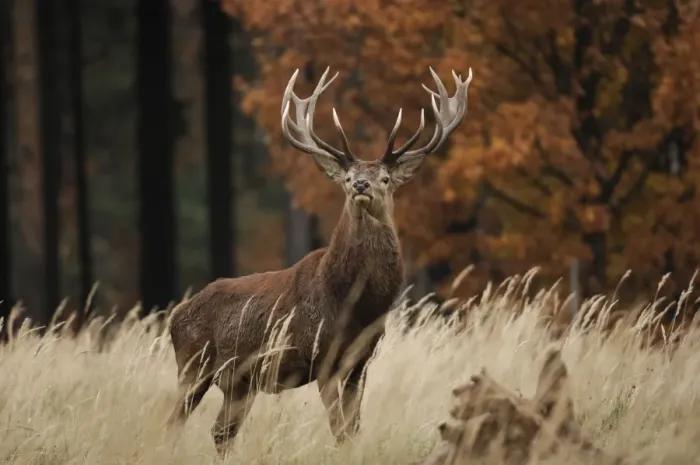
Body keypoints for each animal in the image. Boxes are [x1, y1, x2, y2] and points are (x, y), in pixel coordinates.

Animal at [165, 65, 473, 456]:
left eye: (385, 178)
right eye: (347, 177)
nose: (360, 185)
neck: (354, 304)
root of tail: (175, 316)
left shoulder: (360, 362)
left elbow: (353, 428)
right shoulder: (324, 356)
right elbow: (340, 430)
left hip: (239, 382)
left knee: (221, 432)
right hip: (193, 364)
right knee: (174, 423)